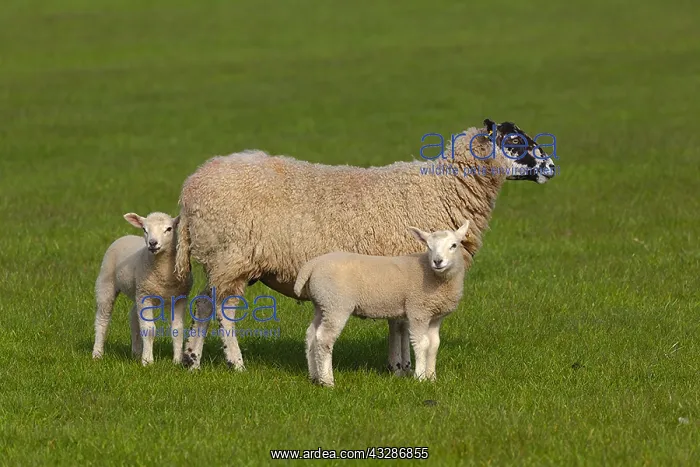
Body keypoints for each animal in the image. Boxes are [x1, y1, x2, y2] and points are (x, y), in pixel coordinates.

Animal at [92, 212, 193, 366]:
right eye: (145, 229)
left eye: (169, 229)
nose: (152, 243)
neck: (164, 276)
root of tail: (126, 236)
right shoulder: (146, 296)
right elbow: (149, 329)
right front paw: (147, 361)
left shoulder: (179, 298)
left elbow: (178, 329)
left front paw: (177, 361)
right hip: (106, 282)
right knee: (102, 318)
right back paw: (97, 353)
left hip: (137, 291)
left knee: (133, 316)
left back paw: (136, 353)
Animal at [294, 220, 471, 387]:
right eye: (428, 246)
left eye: (454, 245)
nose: (437, 261)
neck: (432, 274)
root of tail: (312, 265)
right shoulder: (418, 311)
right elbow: (422, 344)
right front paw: (420, 378)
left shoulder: (435, 316)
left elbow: (434, 345)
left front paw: (432, 378)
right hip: (336, 304)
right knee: (324, 338)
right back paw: (327, 381)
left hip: (322, 304)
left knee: (311, 334)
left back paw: (314, 376)